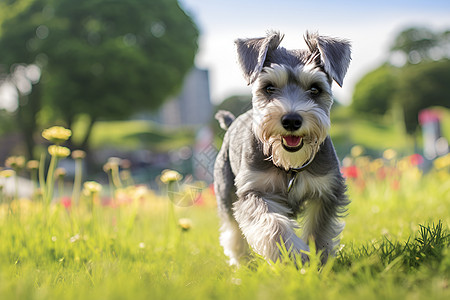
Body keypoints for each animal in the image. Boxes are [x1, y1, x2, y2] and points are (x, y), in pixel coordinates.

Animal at [214, 30, 352, 264]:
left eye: (315, 89)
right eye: (269, 87)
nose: (292, 120)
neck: (290, 167)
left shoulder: (327, 191)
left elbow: (319, 231)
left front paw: (318, 261)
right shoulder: (254, 191)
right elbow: (273, 224)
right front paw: (293, 256)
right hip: (225, 191)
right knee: (232, 232)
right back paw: (243, 263)